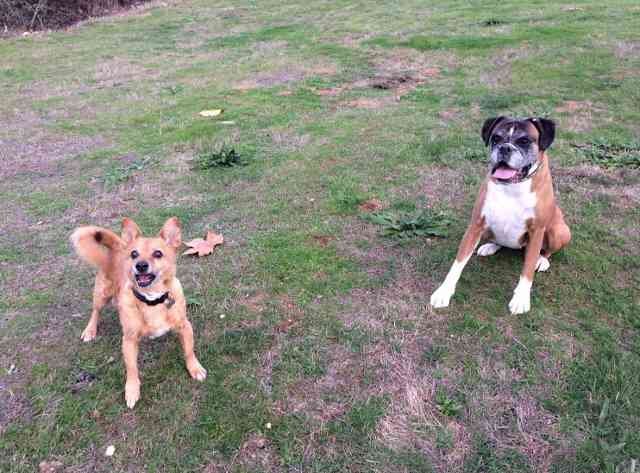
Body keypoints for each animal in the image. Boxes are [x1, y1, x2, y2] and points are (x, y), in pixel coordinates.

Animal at [72, 218, 208, 406]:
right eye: (134, 254)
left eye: (158, 253)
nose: (141, 265)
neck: (152, 300)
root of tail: (119, 248)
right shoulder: (129, 340)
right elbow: (131, 368)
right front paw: (132, 389)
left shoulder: (185, 326)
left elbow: (189, 351)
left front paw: (195, 368)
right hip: (102, 294)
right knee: (95, 311)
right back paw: (90, 330)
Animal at [430, 115, 568, 314]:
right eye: (496, 138)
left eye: (524, 141)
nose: (505, 148)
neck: (512, 187)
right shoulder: (475, 225)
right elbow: (458, 262)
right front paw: (444, 292)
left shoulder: (536, 231)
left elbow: (527, 270)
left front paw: (521, 299)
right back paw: (490, 246)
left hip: (559, 231)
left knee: (546, 251)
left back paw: (542, 260)